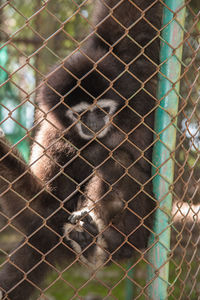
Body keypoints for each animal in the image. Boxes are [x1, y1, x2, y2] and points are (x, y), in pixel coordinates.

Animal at [0, 1, 161, 298]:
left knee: (116, 162)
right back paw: (90, 245)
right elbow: (42, 205)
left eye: (101, 109)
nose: (94, 123)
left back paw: (107, 241)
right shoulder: (53, 134)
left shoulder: (128, 64)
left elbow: (130, 21)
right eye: (81, 114)